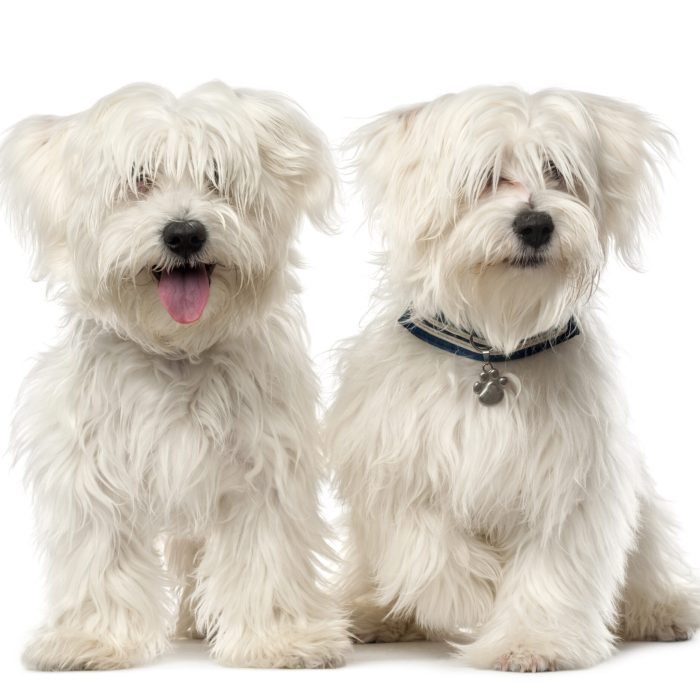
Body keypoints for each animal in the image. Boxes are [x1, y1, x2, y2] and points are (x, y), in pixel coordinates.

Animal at [0, 82, 350, 672]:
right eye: (139, 179)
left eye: (217, 176)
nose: (184, 233)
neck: (178, 352)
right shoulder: (92, 467)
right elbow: (103, 555)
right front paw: (92, 638)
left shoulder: (261, 470)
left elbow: (263, 556)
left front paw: (277, 639)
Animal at [328, 85, 700, 668]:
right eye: (483, 177)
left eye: (557, 170)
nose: (536, 224)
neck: (493, 351)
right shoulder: (394, 466)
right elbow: (429, 547)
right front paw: (474, 596)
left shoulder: (567, 479)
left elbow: (551, 569)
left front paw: (532, 642)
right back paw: (376, 614)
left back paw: (660, 610)